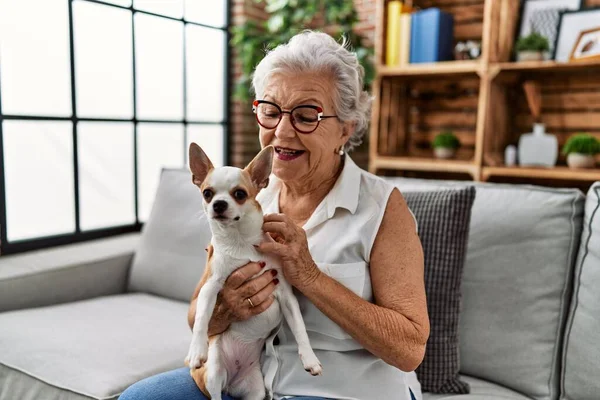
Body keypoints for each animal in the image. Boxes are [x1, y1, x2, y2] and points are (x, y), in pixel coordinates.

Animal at [186, 143, 318, 400]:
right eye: (207, 193)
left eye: (239, 194)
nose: (218, 204)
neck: (240, 241)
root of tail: (230, 383)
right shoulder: (210, 288)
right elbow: (201, 318)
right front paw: (196, 350)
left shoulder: (286, 296)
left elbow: (300, 328)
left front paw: (310, 359)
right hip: (214, 372)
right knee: (215, 394)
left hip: (255, 390)